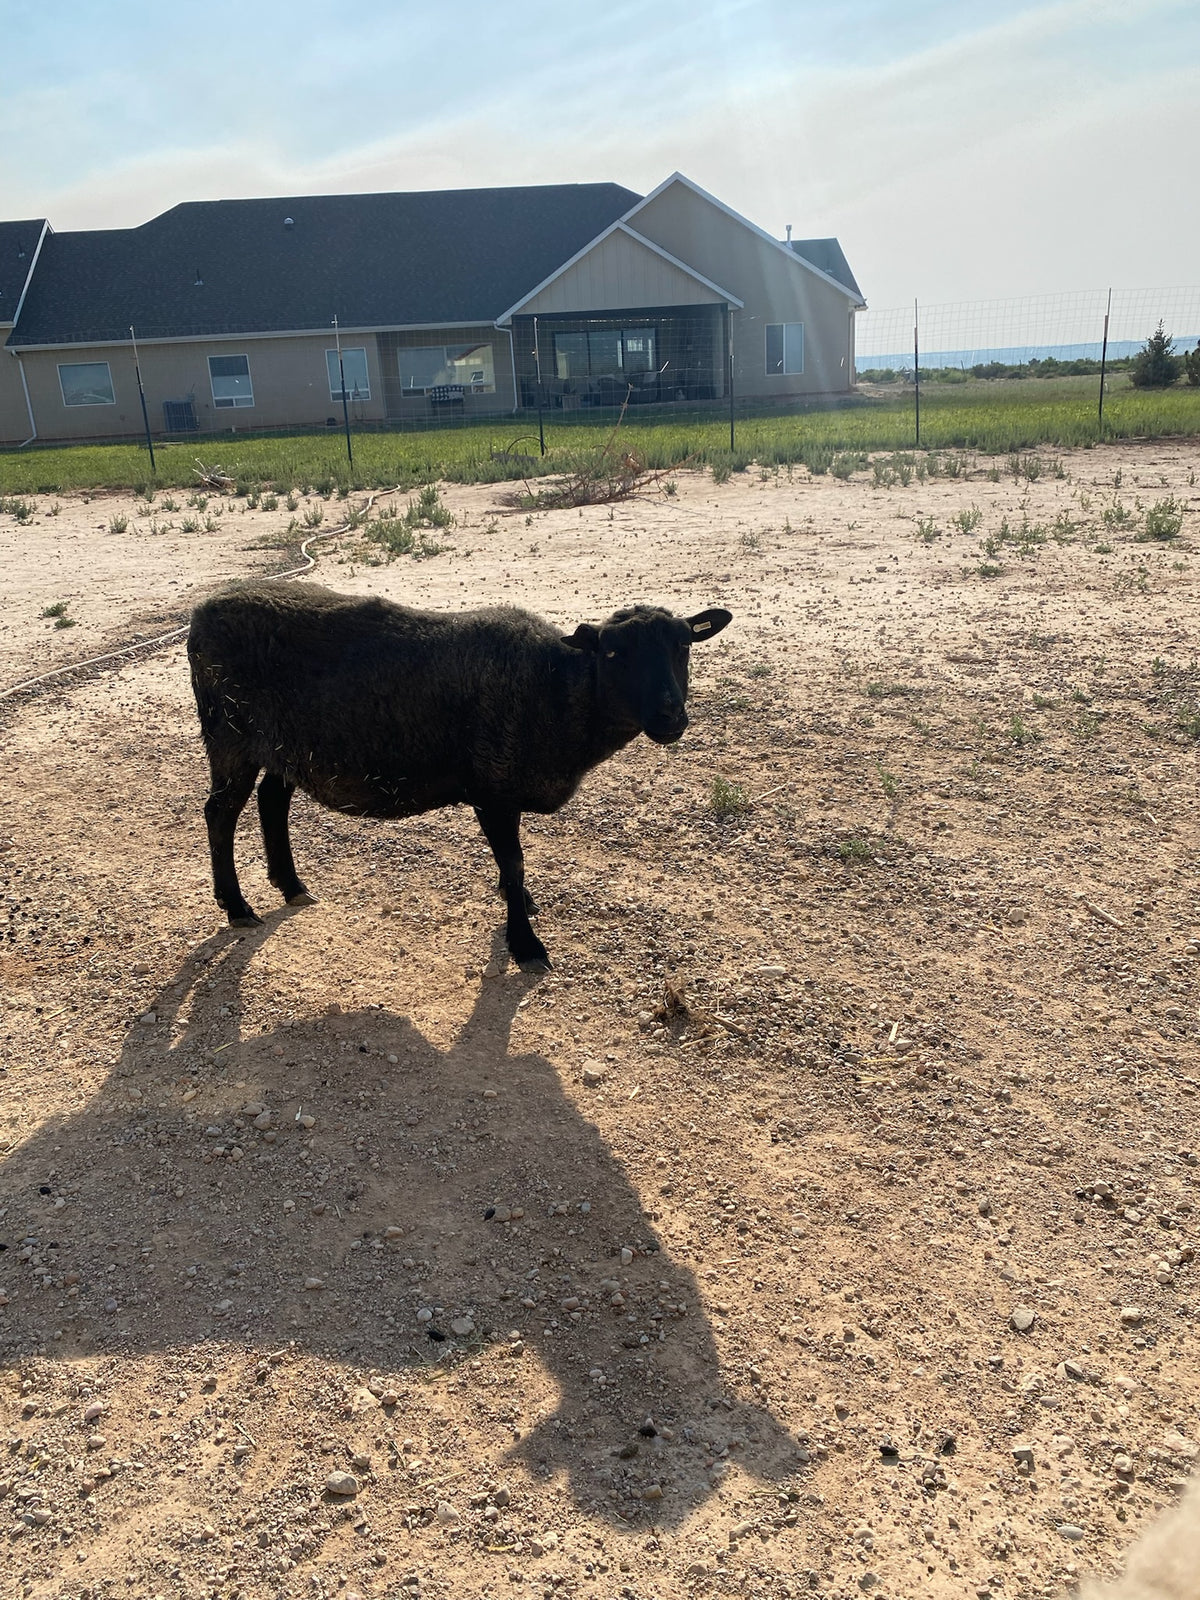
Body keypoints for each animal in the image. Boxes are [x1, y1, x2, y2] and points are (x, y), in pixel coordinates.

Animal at [187, 581, 731, 971]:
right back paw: (236, 905)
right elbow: (514, 863)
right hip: (229, 732)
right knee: (220, 812)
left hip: (285, 746)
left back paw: (291, 884)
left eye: (684, 645)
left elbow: (513, 867)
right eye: (614, 653)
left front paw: (521, 906)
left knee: (270, 799)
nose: (670, 717)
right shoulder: (493, 791)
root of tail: (201, 610)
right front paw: (526, 944)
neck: (556, 689)